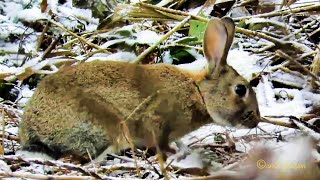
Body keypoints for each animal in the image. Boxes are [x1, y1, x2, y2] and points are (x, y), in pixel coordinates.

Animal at [18, 17, 260, 162]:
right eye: (240, 90)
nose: (256, 120)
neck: (199, 94)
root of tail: (33, 131)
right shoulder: (158, 120)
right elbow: (160, 142)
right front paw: (174, 153)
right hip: (107, 126)